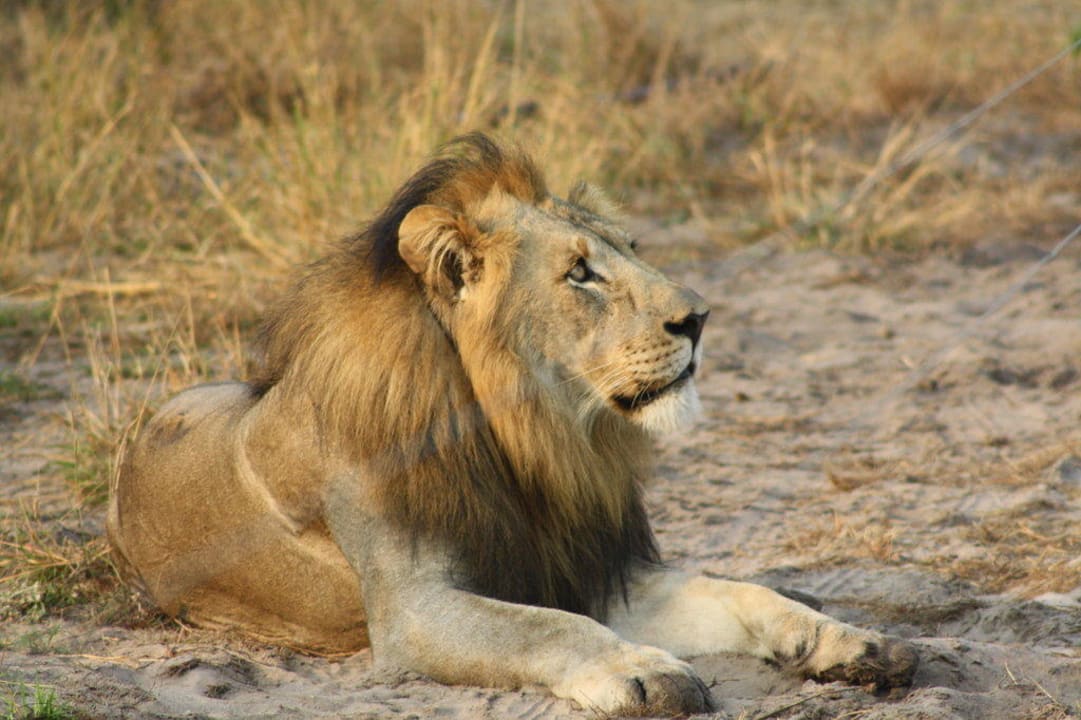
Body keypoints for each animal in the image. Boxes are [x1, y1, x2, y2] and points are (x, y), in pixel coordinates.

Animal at [108, 133, 917, 716]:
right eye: (580, 273)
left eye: (632, 249)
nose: (698, 318)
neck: (538, 436)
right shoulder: (414, 610)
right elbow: (548, 626)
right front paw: (642, 670)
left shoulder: (598, 573)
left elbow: (742, 593)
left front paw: (851, 642)